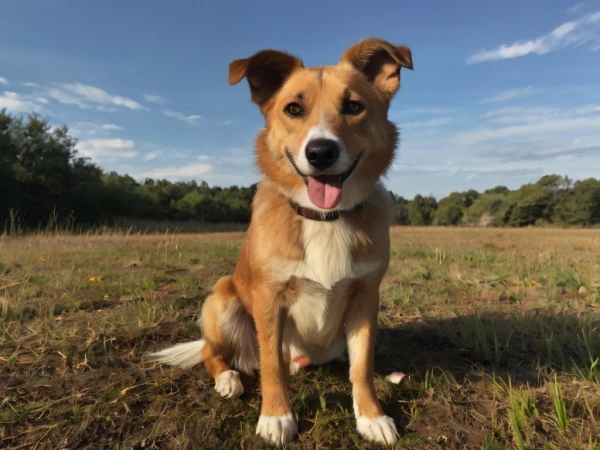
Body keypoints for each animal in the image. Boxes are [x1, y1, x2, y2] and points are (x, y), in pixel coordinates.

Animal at [148, 37, 414, 444]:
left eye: (353, 106)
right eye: (293, 108)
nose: (321, 152)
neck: (323, 217)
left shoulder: (366, 297)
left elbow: (362, 367)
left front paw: (371, 416)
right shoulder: (269, 299)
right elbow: (271, 364)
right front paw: (276, 416)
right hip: (223, 299)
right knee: (214, 353)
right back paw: (228, 379)